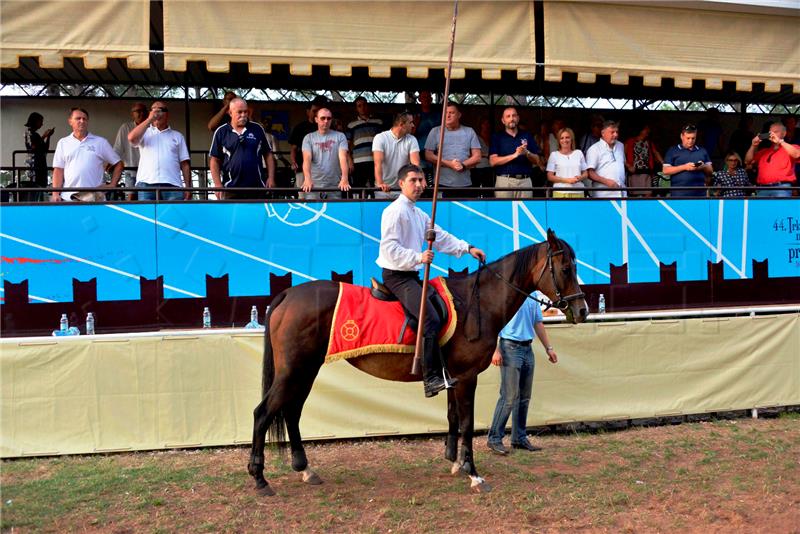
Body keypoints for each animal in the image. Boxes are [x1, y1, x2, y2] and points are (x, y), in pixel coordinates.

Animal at [247, 228, 592, 496]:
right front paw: (473, 473)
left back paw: (305, 469)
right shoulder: (467, 377)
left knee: (291, 412)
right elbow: (467, 423)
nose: (582, 310)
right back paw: (260, 478)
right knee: (263, 413)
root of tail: (288, 296)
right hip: (293, 371)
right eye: (565, 268)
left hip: (306, 370)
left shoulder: (454, 376)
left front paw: (456, 462)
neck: (476, 304)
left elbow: (453, 417)